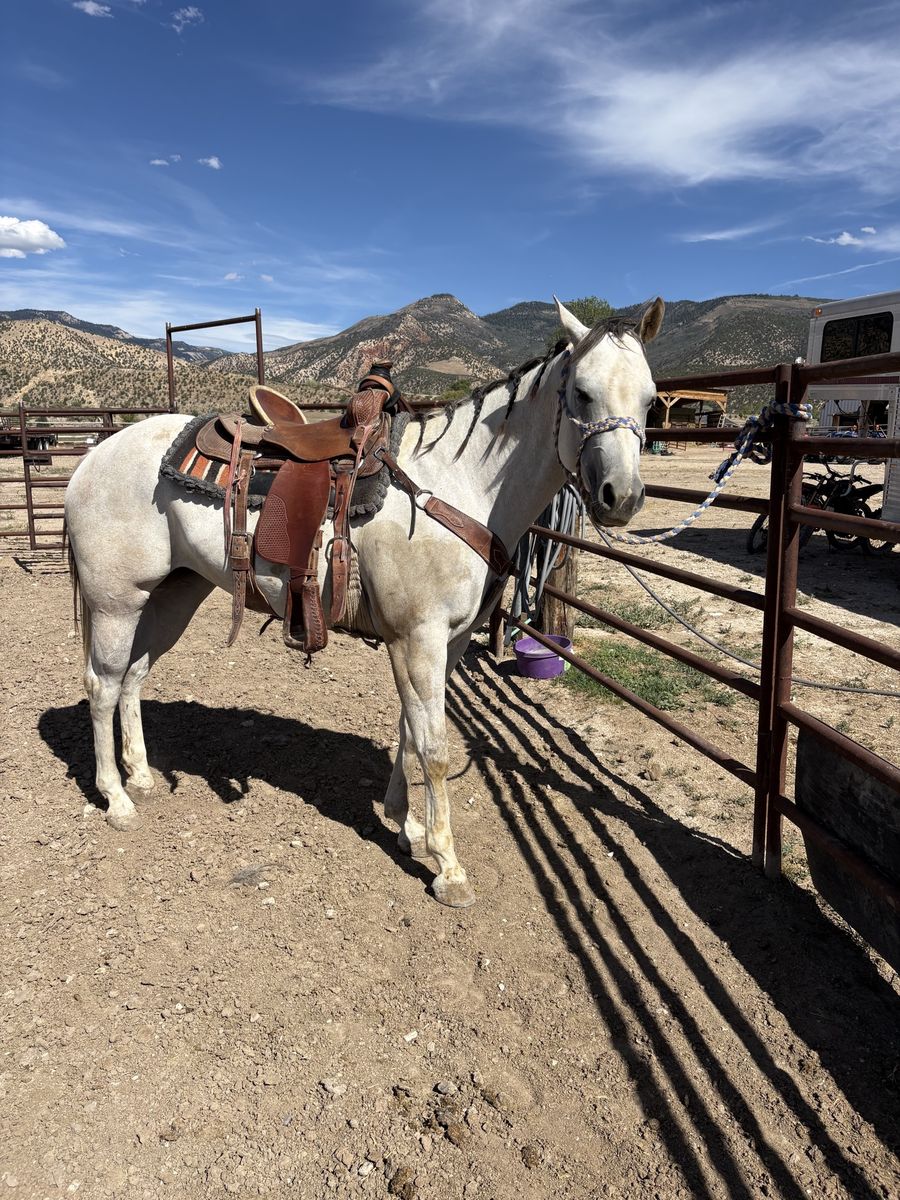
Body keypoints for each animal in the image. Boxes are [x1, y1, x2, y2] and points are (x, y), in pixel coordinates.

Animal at [64, 296, 664, 907]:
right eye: (583, 393)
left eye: (649, 399)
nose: (621, 497)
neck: (457, 487)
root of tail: (93, 457)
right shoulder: (418, 640)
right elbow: (434, 746)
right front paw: (448, 867)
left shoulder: (445, 643)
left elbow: (409, 731)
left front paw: (407, 825)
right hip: (116, 603)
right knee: (102, 684)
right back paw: (117, 798)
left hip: (172, 594)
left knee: (133, 677)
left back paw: (141, 775)